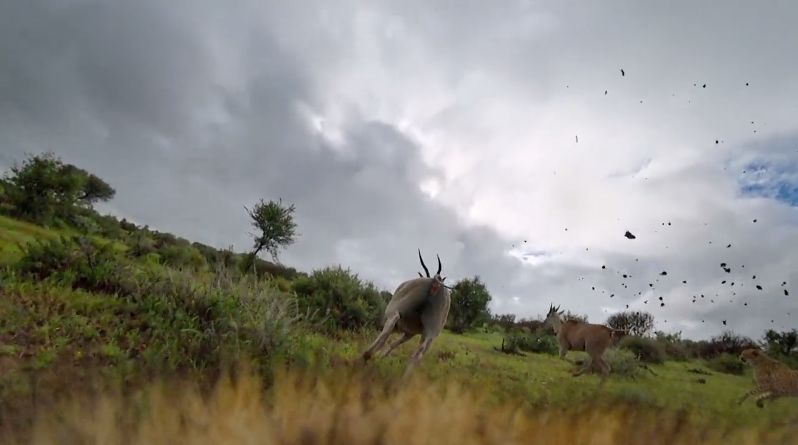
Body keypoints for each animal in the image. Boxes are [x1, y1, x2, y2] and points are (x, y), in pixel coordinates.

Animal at [360, 248, 454, 376]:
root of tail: (435, 282)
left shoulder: (406, 332)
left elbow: (391, 341)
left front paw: (379, 357)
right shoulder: (410, 334)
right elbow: (394, 344)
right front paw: (381, 357)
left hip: (394, 312)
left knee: (388, 329)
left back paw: (366, 356)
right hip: (430, 334)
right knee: (418, 354)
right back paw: (403, 378)